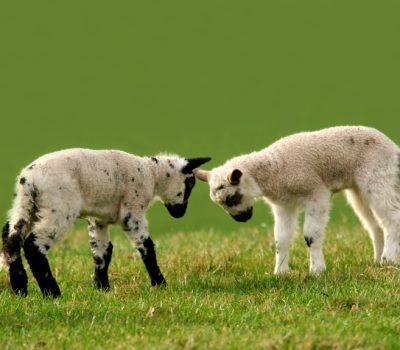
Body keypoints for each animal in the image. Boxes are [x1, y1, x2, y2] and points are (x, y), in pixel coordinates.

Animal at [0, 148, 211, 298]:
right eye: (190, 184)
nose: (180, 214)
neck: (151, 174)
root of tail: (29, 180)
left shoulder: (98, 220)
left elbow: (102, 252)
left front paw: (102, 288)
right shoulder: (132, 212)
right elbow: (146, 247)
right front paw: (160, 284)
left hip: (26, 206)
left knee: (11, 238)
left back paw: (20, 289)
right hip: (59, 208)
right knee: (33, 246)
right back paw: (52, 293)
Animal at [195, 127, 400, 274]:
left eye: (232, 198)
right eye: (220, 204)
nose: (242, 219)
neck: (273, 172)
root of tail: (394, 149)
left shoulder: (316, 195)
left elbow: (310, 235)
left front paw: (317, 271)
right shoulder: (284, 205)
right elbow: (281, 239)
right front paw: (280, 273)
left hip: (378, 178)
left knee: (392, 218)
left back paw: (388, 259)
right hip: (358, 191)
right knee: (375, 225)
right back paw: (378, 261)